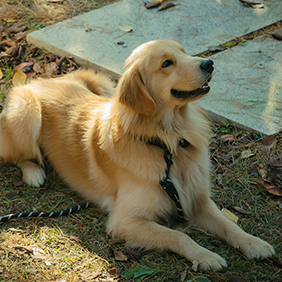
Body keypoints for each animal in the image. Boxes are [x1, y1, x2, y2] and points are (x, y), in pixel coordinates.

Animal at [0, 39, 274, 270]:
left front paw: (253, 243)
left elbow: (228, 223)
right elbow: (178, 235)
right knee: (19, 156)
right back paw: (34, 172)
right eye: (166, 63)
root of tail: (44, 80)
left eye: (183, 52)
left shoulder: (198, 199)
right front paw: (205, 256)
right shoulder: (125, 221)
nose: (209, 63)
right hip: (26, 110)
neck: (166, 142)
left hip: (103, 87)